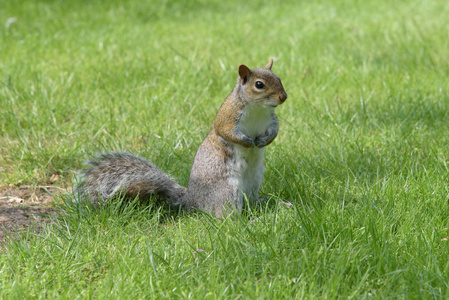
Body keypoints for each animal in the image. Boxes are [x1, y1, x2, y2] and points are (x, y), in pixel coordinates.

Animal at [76, 59, 288, 218]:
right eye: (259, 84)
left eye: (278, 78)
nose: (283, 97)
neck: (258, 108)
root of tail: (193, 201)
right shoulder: (227, 117)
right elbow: (225, 131)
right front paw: (248, 142)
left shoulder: (270, 120)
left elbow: (274, 131)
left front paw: (263, 141)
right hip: (227, 191)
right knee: (224, 215)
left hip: (253, 183)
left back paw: (262, 204)